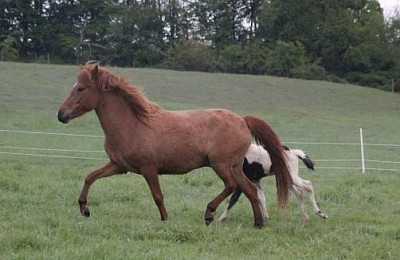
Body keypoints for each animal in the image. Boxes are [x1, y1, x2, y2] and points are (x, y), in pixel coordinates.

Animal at [57, 62, 290, 226]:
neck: (132, 124)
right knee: (250, 190)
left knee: (232, 186)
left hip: (221, 165)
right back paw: (257, 223)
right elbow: (90, 177)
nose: (61, 115)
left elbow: (158, 196)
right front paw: (84, 209)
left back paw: (209, 213)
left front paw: (165, 219)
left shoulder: (148, 168)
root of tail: (242, 120)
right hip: (234, 166)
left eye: (81, 88)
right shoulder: (119, 166)